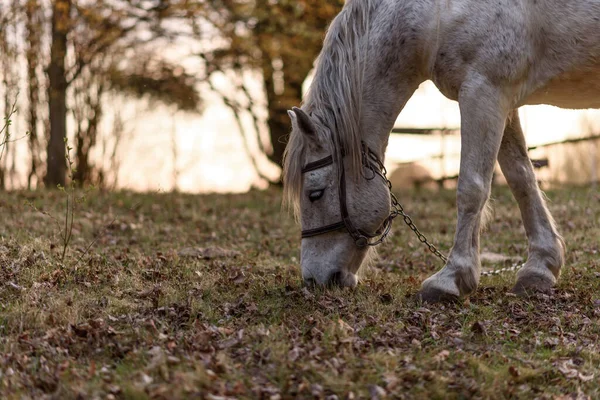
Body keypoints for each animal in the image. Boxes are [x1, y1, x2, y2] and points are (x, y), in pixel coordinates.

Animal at [284, 0, 600, 300]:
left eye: (315, 194)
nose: (314, 280)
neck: (438, 13)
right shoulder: (503, 100)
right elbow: (521, 178)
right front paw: (540, 267)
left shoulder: (483, 91)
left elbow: (471, 189)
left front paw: (452, 278)